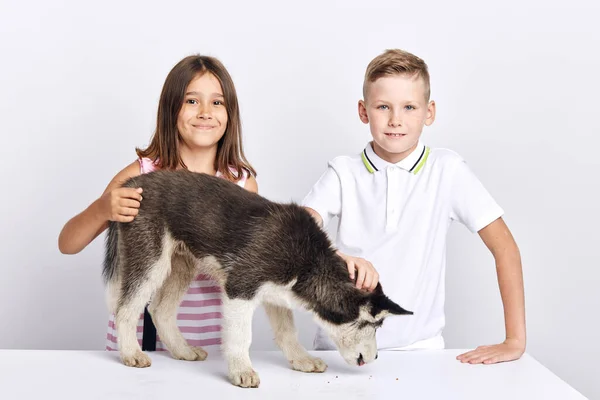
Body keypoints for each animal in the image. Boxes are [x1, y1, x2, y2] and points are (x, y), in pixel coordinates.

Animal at [104, 169, 412, 388]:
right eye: (375, 325)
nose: (375, 358)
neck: (309, 261)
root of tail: (132, 182)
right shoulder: (240, 287)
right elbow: (241, 336)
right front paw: (242, 370)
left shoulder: (278, 296)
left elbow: (287, 331)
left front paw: (301, 360)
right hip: (151, 259)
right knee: (126, 308)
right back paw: (131, 353)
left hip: (183, 264)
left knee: (160, 310)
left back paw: (183, 350)